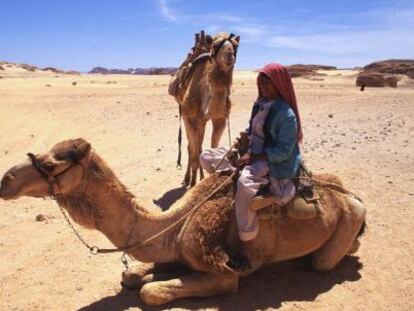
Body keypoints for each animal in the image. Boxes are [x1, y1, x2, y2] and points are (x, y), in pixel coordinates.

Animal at [1, 140, 368, 308]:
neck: (175, 224)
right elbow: (133, 275)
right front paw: (144, 272)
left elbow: (150, 290)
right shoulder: (175, 249)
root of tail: (352, 196)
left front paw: (152, 281)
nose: (5, 181)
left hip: (346, 220)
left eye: (51, 164)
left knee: (324, 260)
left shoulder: (223, 271)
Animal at [170, 31, 239, 188]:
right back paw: (187, 179)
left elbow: (211, 147)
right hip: (187, 115)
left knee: (196, 145)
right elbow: (195, 151)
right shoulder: (189, 117)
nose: (229, 55)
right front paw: (193, 184)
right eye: (215, 45)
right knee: (191, 147)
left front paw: (206, 178)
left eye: (236, 46)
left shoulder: (220, 119)